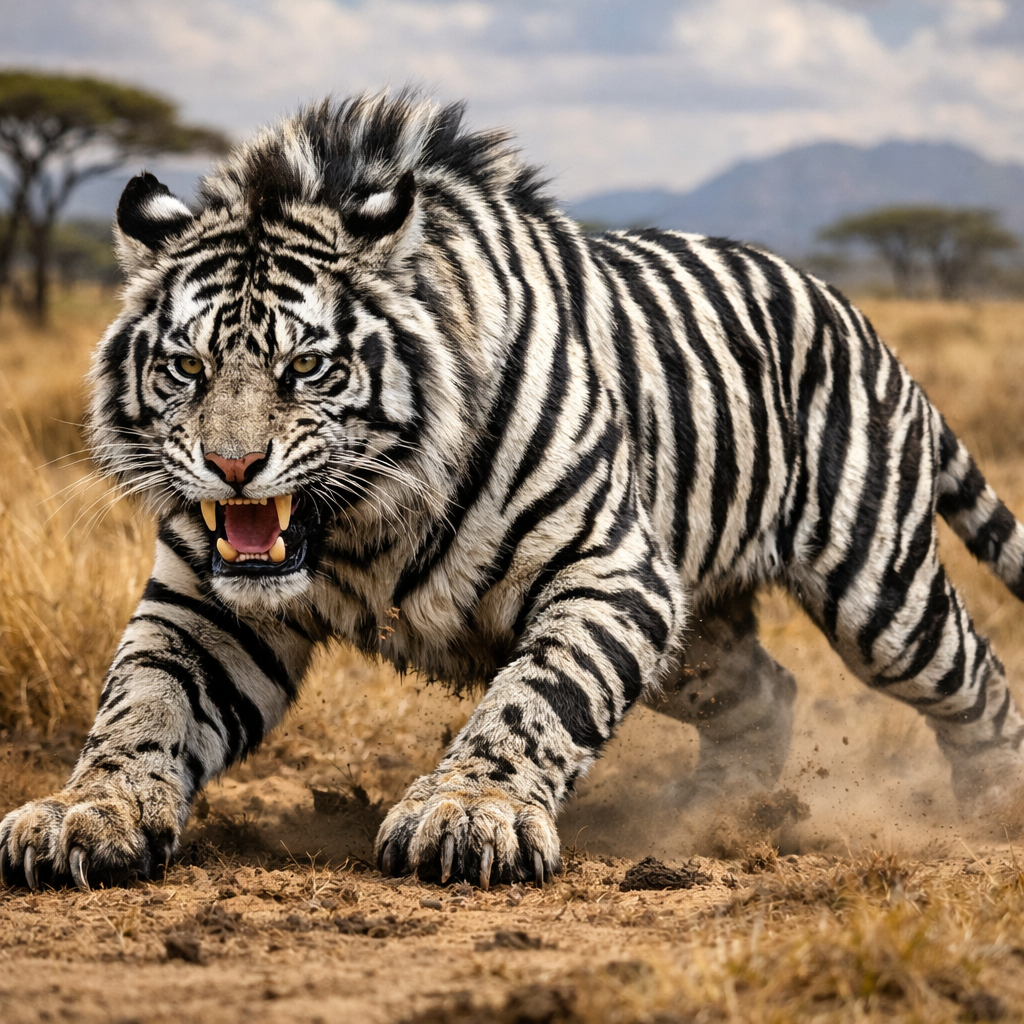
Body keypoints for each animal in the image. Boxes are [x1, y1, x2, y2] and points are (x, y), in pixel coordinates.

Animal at [3, 91, 1024, 892]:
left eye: (307, 367)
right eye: (187, 367)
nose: (233, 465)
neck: (360, 524)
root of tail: (865, 323)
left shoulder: (612, 572)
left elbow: (541, 696)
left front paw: (466, 813)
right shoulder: (205, 605)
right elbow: (143, 699)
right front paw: (82, 813)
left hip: (878, 599)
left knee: (977, 679)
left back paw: (991, 812)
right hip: (698, 644)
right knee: (768, 692)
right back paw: (712, 816)